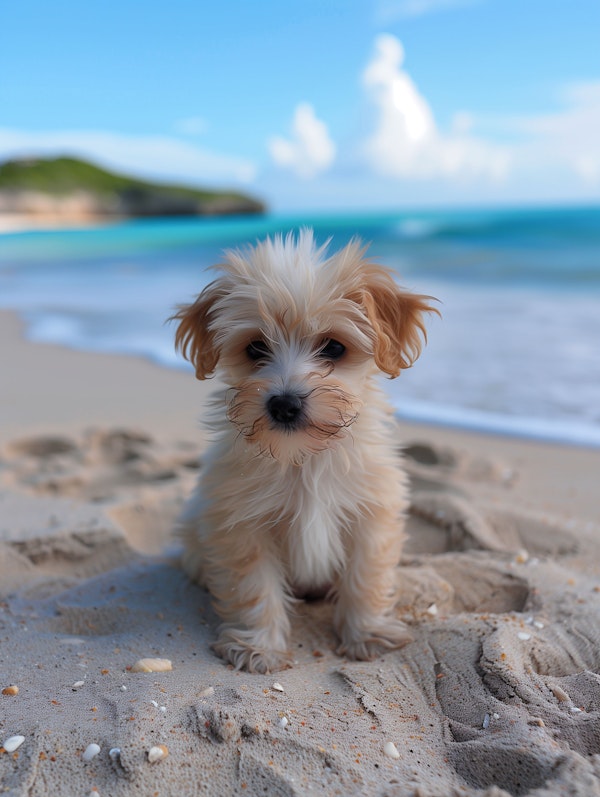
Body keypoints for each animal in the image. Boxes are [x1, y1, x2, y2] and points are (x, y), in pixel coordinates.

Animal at [172, 229, 436, 672]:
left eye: (333, 347)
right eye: (256, 348)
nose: (284, 404)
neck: (302, 456)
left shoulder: (371, 513)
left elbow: (366, 576)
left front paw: (366, 633)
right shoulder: (242, 524)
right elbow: (254, 586)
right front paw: (259, 646)